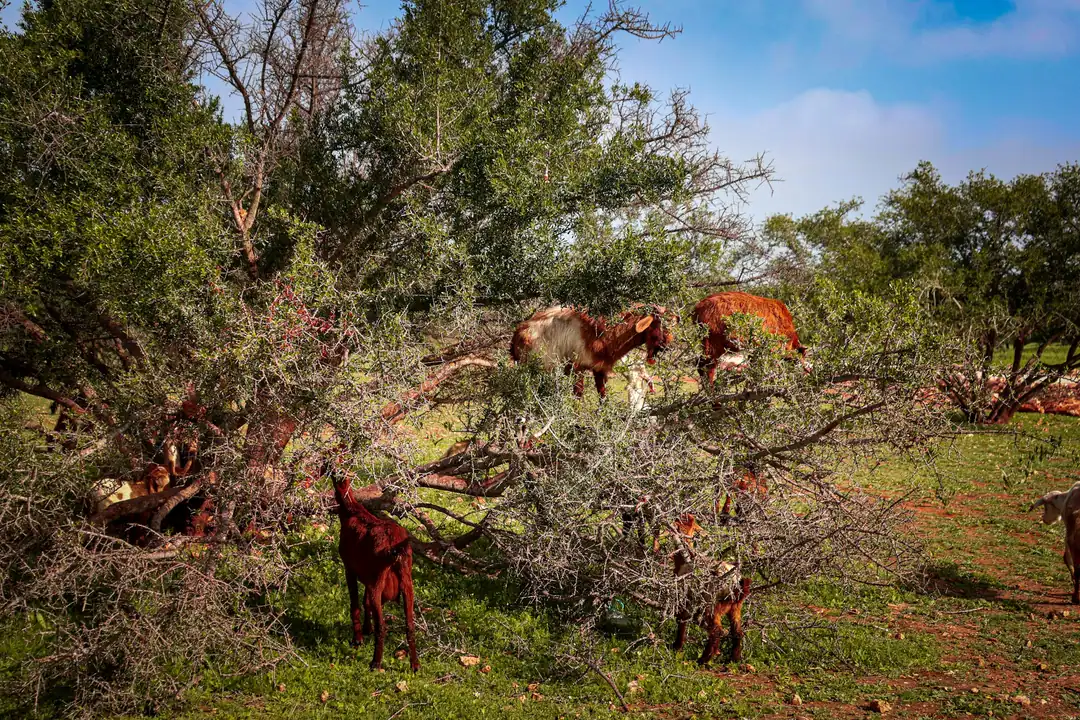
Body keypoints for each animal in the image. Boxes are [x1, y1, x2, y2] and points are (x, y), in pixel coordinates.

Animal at [327, 460, 419, 671]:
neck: (352, 511)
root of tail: (395, 549)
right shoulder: (368, 578)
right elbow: (364, 601)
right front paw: (366, 630)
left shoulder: (350, 569)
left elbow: (355, 604)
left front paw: (358, 638)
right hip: (406, 584)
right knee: (410, 625)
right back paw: (415, 665)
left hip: (379, 584)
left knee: (382, 626)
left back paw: (375, 662)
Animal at [510, 305, 673, 399]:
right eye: (656, 325)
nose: (666, 344)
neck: (598, 339)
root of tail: (518, 334)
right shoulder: (576, 369)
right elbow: (578, 397)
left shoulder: (599, 370)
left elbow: (603, 397)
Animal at [668, 513, 752, 664]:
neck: (685, 559)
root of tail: (736, 584)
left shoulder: (687, 596)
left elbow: (682, 619)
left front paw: (677, 646)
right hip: (735, 606)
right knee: (737, 632)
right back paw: (734, 658)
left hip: (713, 604)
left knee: (716, 631)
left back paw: (703, 659)